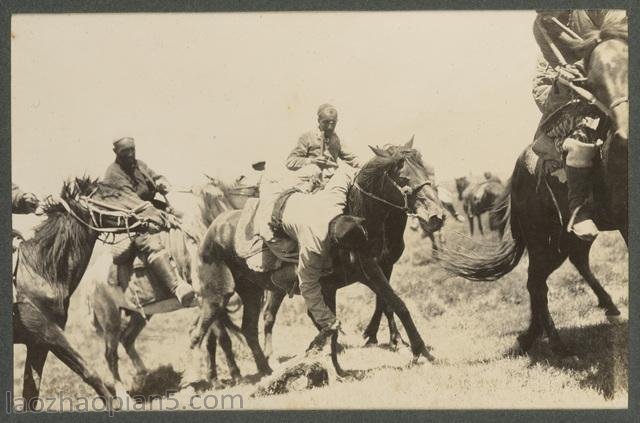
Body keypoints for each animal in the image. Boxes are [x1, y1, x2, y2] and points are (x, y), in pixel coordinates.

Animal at [12, 178, 119, 410]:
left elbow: (30, 393)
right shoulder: (50, 333)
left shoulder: (37, 344)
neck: (40, 271)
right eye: (112, 195)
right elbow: (90, 373)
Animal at [190, 140, 444, 388]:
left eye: (427, 171)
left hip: (252, 292)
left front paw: (418, 351)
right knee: (199, 333)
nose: (437, 216)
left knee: (248, 329)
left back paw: (266, 371)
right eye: (404, 179)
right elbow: (336, 323)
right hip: (216, 296)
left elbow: (393, 305)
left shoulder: (367, 273)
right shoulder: (333, 281)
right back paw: (201, 380)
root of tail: (211, 229)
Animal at [438, 13, 628, 356]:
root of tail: (517, 175)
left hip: (562, 239)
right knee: (536, 282)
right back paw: (555, 342)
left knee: (566, 266)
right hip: (543, 240)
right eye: (593, 82)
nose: (627, 133)